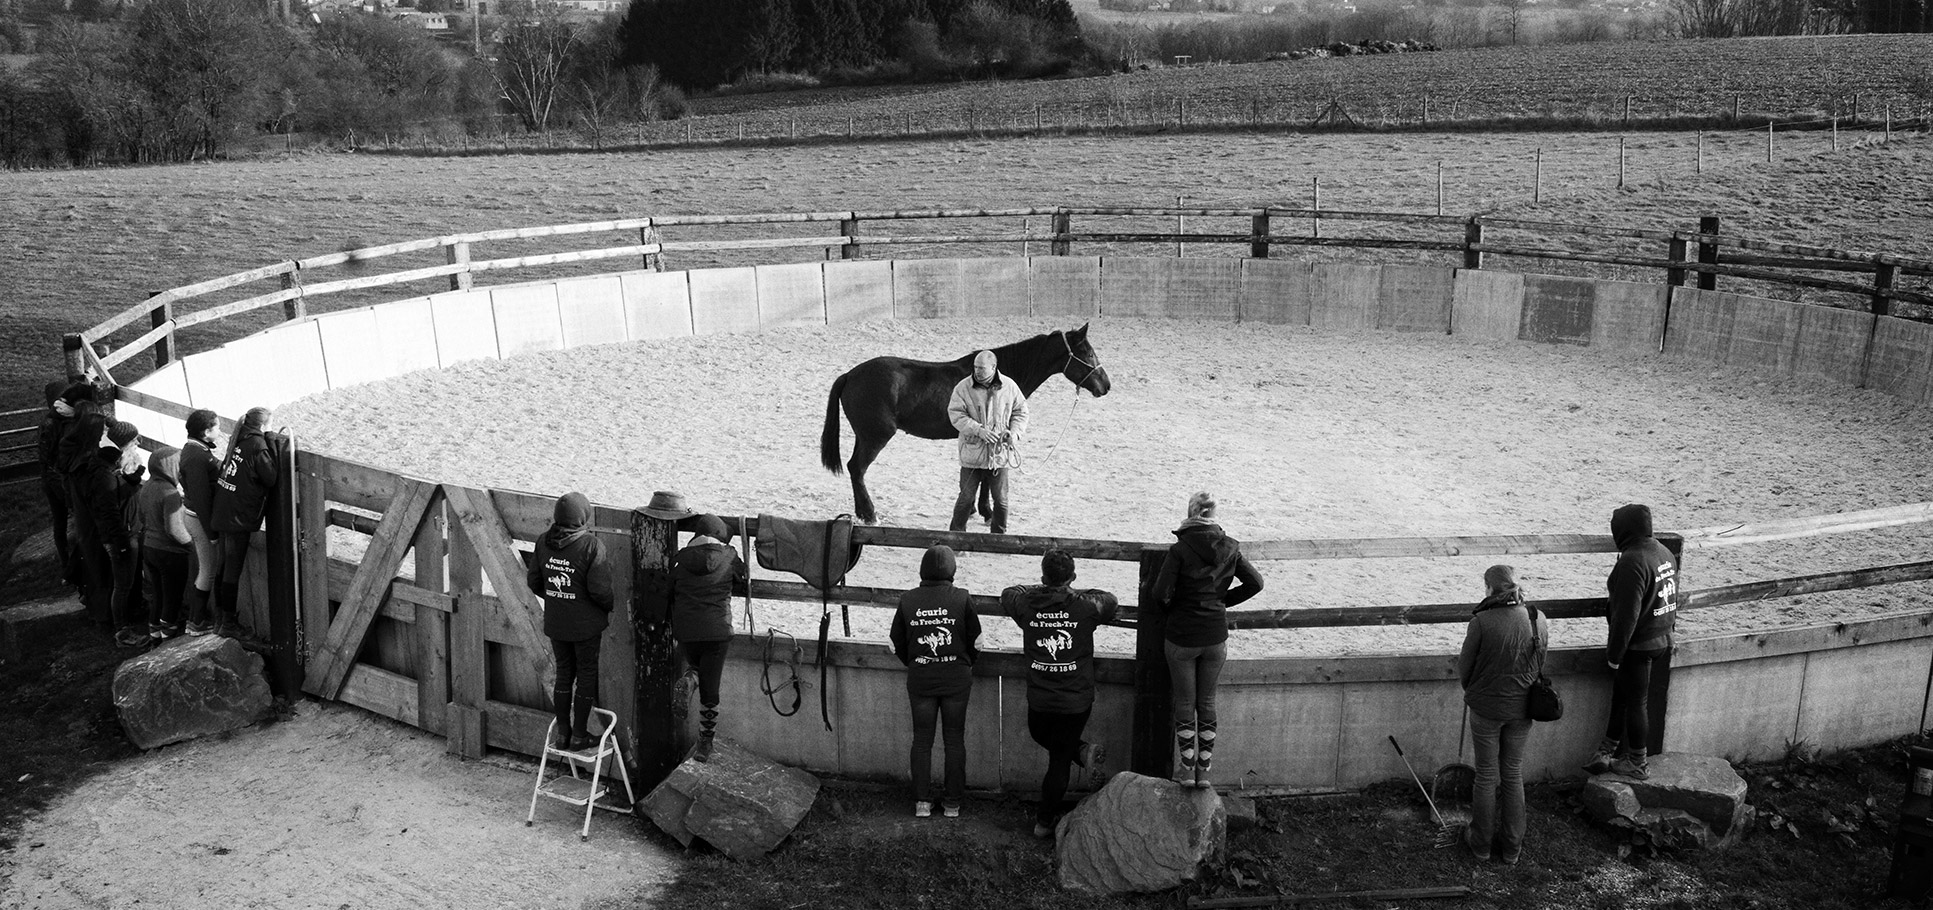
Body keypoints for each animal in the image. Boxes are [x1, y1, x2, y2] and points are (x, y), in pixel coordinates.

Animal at [819, 322, 1121, 525]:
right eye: (1088, 354)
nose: (1105, 386)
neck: (996, 379)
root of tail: (850, 375)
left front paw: (978, 509)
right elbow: (988, 475)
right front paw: (987, 512)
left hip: (864, 436)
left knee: (854, 469)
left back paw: (862, 512)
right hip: (876, 436)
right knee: (858, 469)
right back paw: (870, 515)